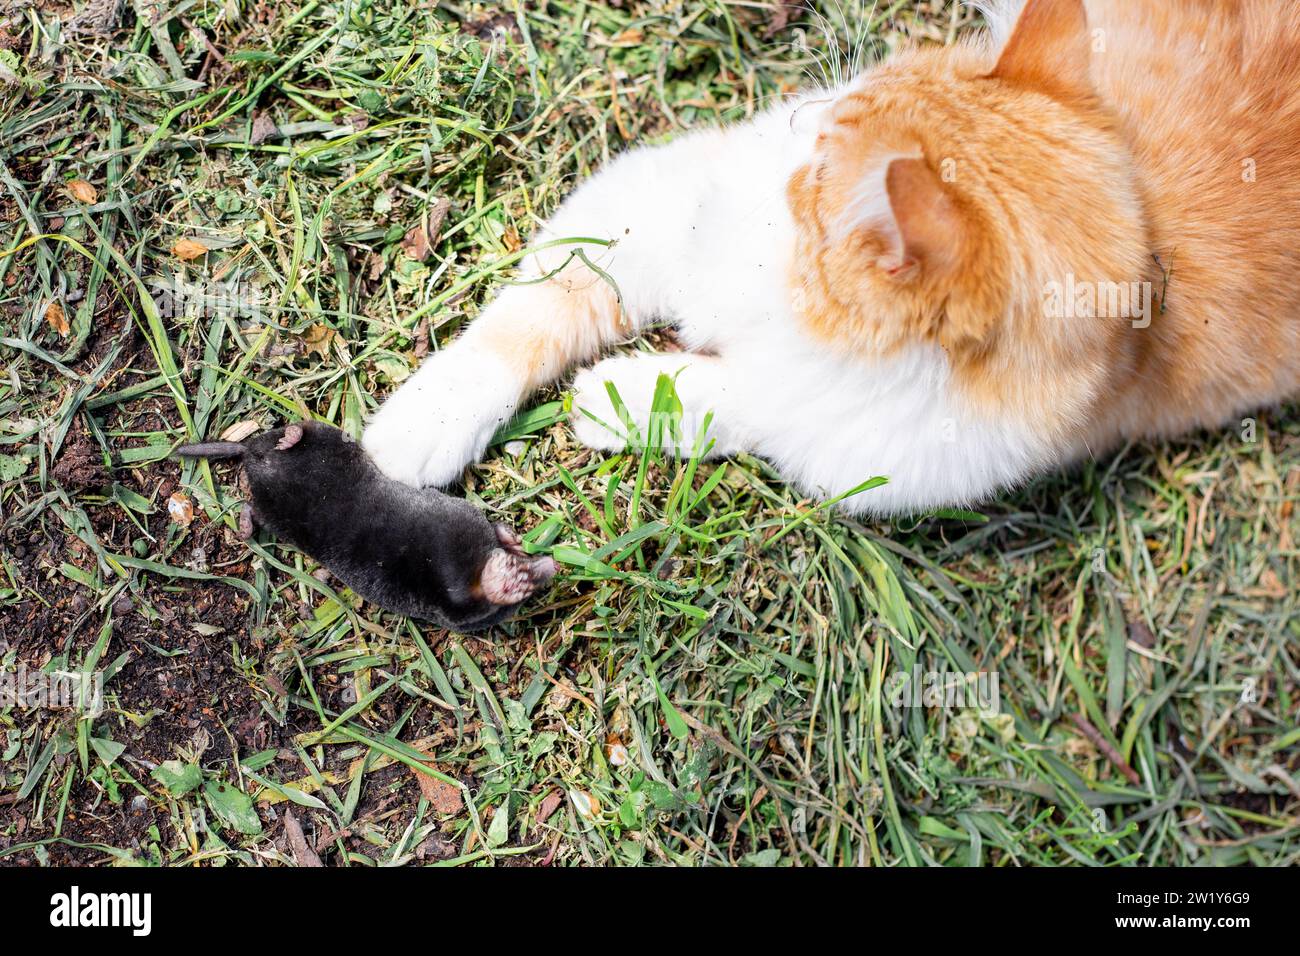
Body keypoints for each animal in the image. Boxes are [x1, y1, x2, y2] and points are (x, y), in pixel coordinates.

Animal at [361, 0, 1300, 515]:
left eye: (822, 167)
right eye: (843, 103)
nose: (793, 117)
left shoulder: (861, 444)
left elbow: (747, 405)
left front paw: (633, 400)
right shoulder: (648, 208)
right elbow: (521, 320)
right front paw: (421, 423)